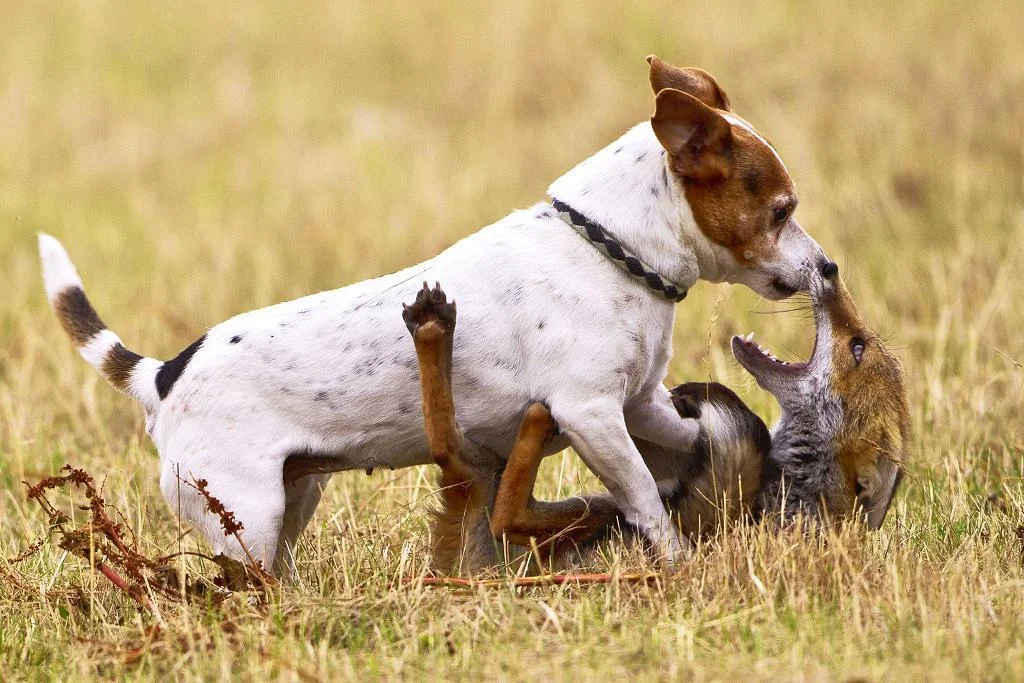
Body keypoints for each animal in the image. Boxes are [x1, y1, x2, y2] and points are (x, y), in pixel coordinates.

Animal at [39, 57, 827, 573]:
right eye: (780, 211)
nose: (830, 271)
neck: (610, 250)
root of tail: (163, 376)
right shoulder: (592, 415)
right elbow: (641, 497)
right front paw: (677, 559)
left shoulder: (639, 404)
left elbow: (695, 439)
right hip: (247, 517)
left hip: (293, 498)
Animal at [403, 262, 909, 573]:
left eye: (857, 347)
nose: (829, 269)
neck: (782, 493)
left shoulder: (721, 495)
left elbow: (738, 431)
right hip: (588, 507)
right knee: (462, 462)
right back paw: (432, 325)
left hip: (572, 513)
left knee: (487, 492)